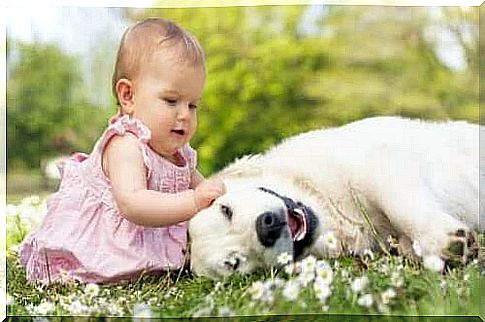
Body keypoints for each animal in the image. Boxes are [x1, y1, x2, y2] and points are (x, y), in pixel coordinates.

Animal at [189, 117, 480, 278]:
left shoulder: (378, 159)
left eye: (226, 210)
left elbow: (399, 204)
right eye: (235, 263)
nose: (266, 227)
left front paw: (440, 239)